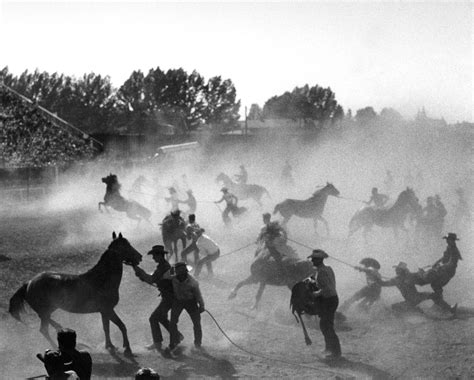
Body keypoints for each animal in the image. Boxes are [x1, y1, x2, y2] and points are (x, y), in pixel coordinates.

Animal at [8, 232, 142, 356]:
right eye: (126, 246)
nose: (140, 257)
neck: (101, 279)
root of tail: (28, 283)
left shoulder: (104, 311)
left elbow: (106, 328)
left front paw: (110, 346)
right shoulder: (108, 310)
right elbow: (122, 326)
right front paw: (127, 349)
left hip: (48, 310)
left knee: (48, 322)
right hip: (45, 311)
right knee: (44, 330)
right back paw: (56, 347)